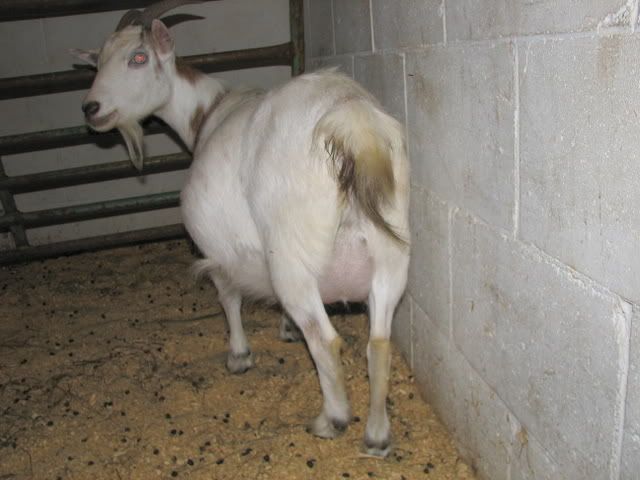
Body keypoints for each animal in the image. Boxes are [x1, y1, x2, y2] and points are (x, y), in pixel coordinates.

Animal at [71, 0, 410, 457]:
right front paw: (285, 329)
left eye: (137, 58)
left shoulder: (214, 247)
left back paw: (332, 419)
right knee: (379, 342)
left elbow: (227, 295)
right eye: (98, 62)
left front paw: (239, 355)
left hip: (291, 254)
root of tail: (350, 121)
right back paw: (376, 437)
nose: (91, 108)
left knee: (325, 340)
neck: (208, 113)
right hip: (390, 253)